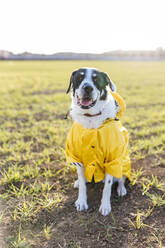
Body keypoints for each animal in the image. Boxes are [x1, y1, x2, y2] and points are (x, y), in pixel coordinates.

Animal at [65, 67, 131, 215]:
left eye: (96, 79)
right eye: (80, 77)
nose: (88, 88)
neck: (91, 117)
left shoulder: (112, 158)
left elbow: (107, 186)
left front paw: (105, 206)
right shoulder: (77, 157)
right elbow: (82, 184)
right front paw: (81, 201)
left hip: (123, 160)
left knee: (121, 177)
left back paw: (121, 189)